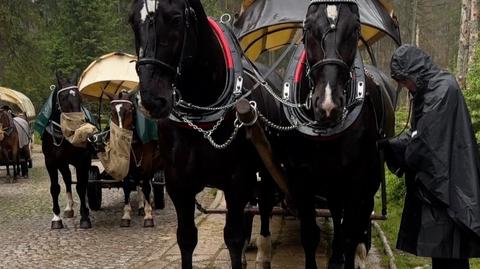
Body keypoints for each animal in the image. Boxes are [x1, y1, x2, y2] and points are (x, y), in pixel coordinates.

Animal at [42, 71, 94, 228]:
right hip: (62, 163)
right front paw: (56, 218)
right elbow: (55, 188)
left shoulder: (82, 160)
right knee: (67, 179)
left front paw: (85, 216)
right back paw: (69, 208)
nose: (79, 126)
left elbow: (81, 187)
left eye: (80, 97)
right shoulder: (51, 162)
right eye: (63, 97)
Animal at [129, 1, 262, 266]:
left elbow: (233, 238)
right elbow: (186, 238)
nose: (151, 99)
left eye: (176, 19)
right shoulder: (178, 184)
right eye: (132, 21)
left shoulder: (238, 181)